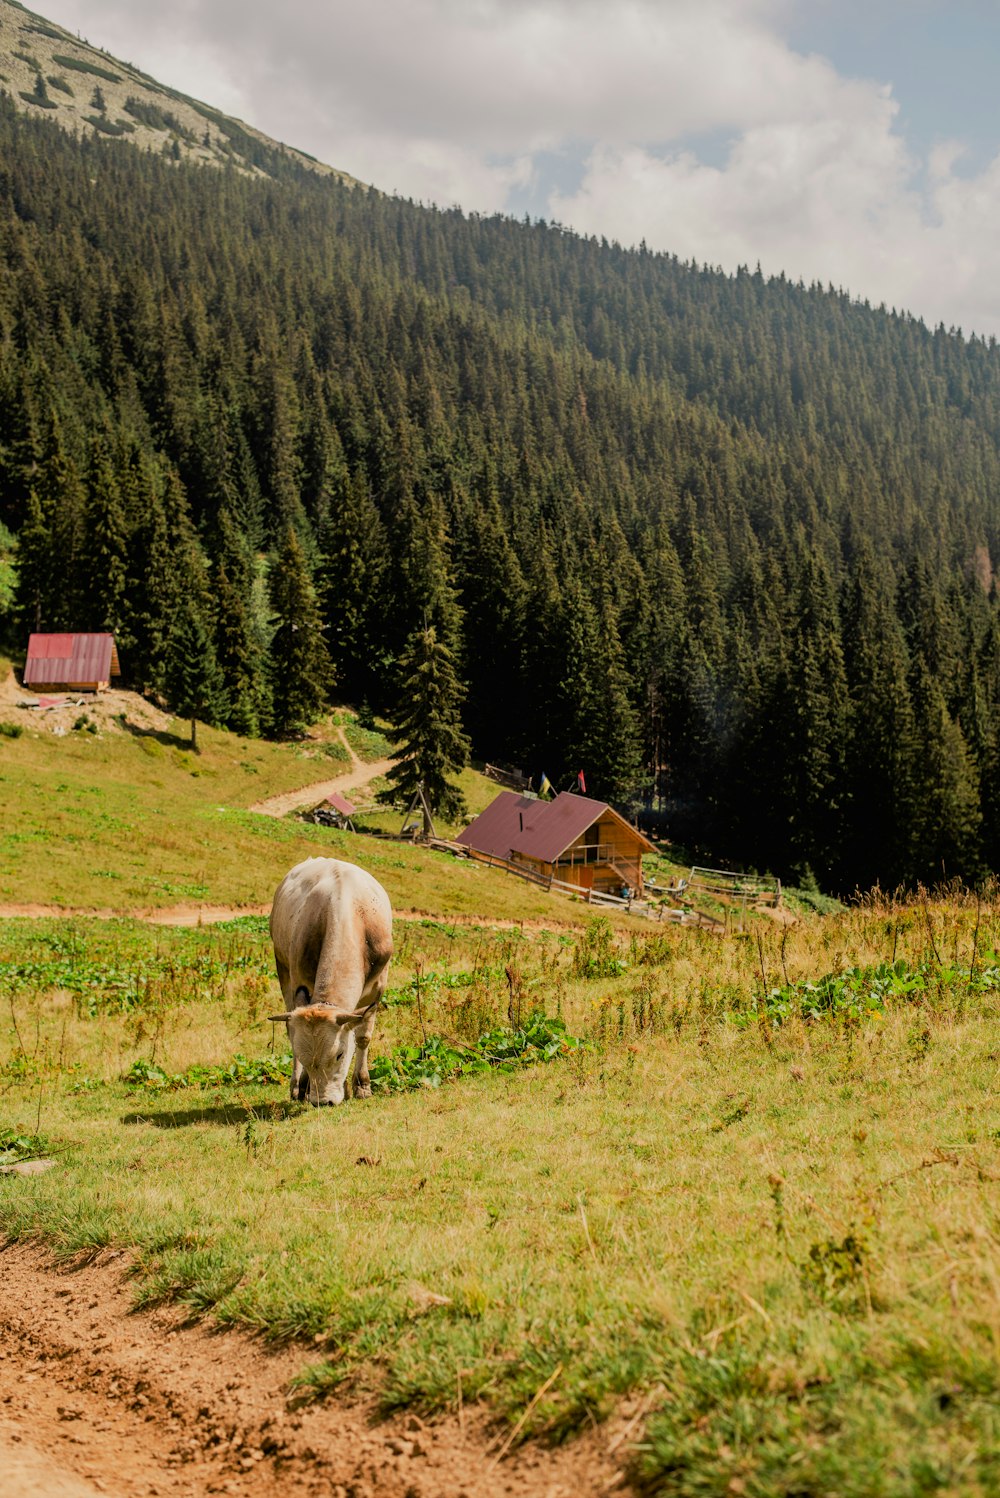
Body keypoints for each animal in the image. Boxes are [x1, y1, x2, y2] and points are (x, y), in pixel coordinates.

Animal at [267, 862, 392, 1108]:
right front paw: (304, 1087)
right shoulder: (299, 982)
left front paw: (362, 1086)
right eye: (303, 1055)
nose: (323, 1101)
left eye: (339, 1055)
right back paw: (296, 1086)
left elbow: (362, 1037)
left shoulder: (377, 988)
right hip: (282, 967)